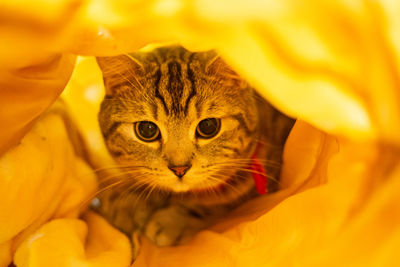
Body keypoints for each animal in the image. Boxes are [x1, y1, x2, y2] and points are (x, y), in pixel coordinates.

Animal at [93, 46, 294, 253]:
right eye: (147, 130)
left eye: (208, 126)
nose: (179, 168)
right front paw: (127, 201)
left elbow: (219, 202)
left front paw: (172, 220)